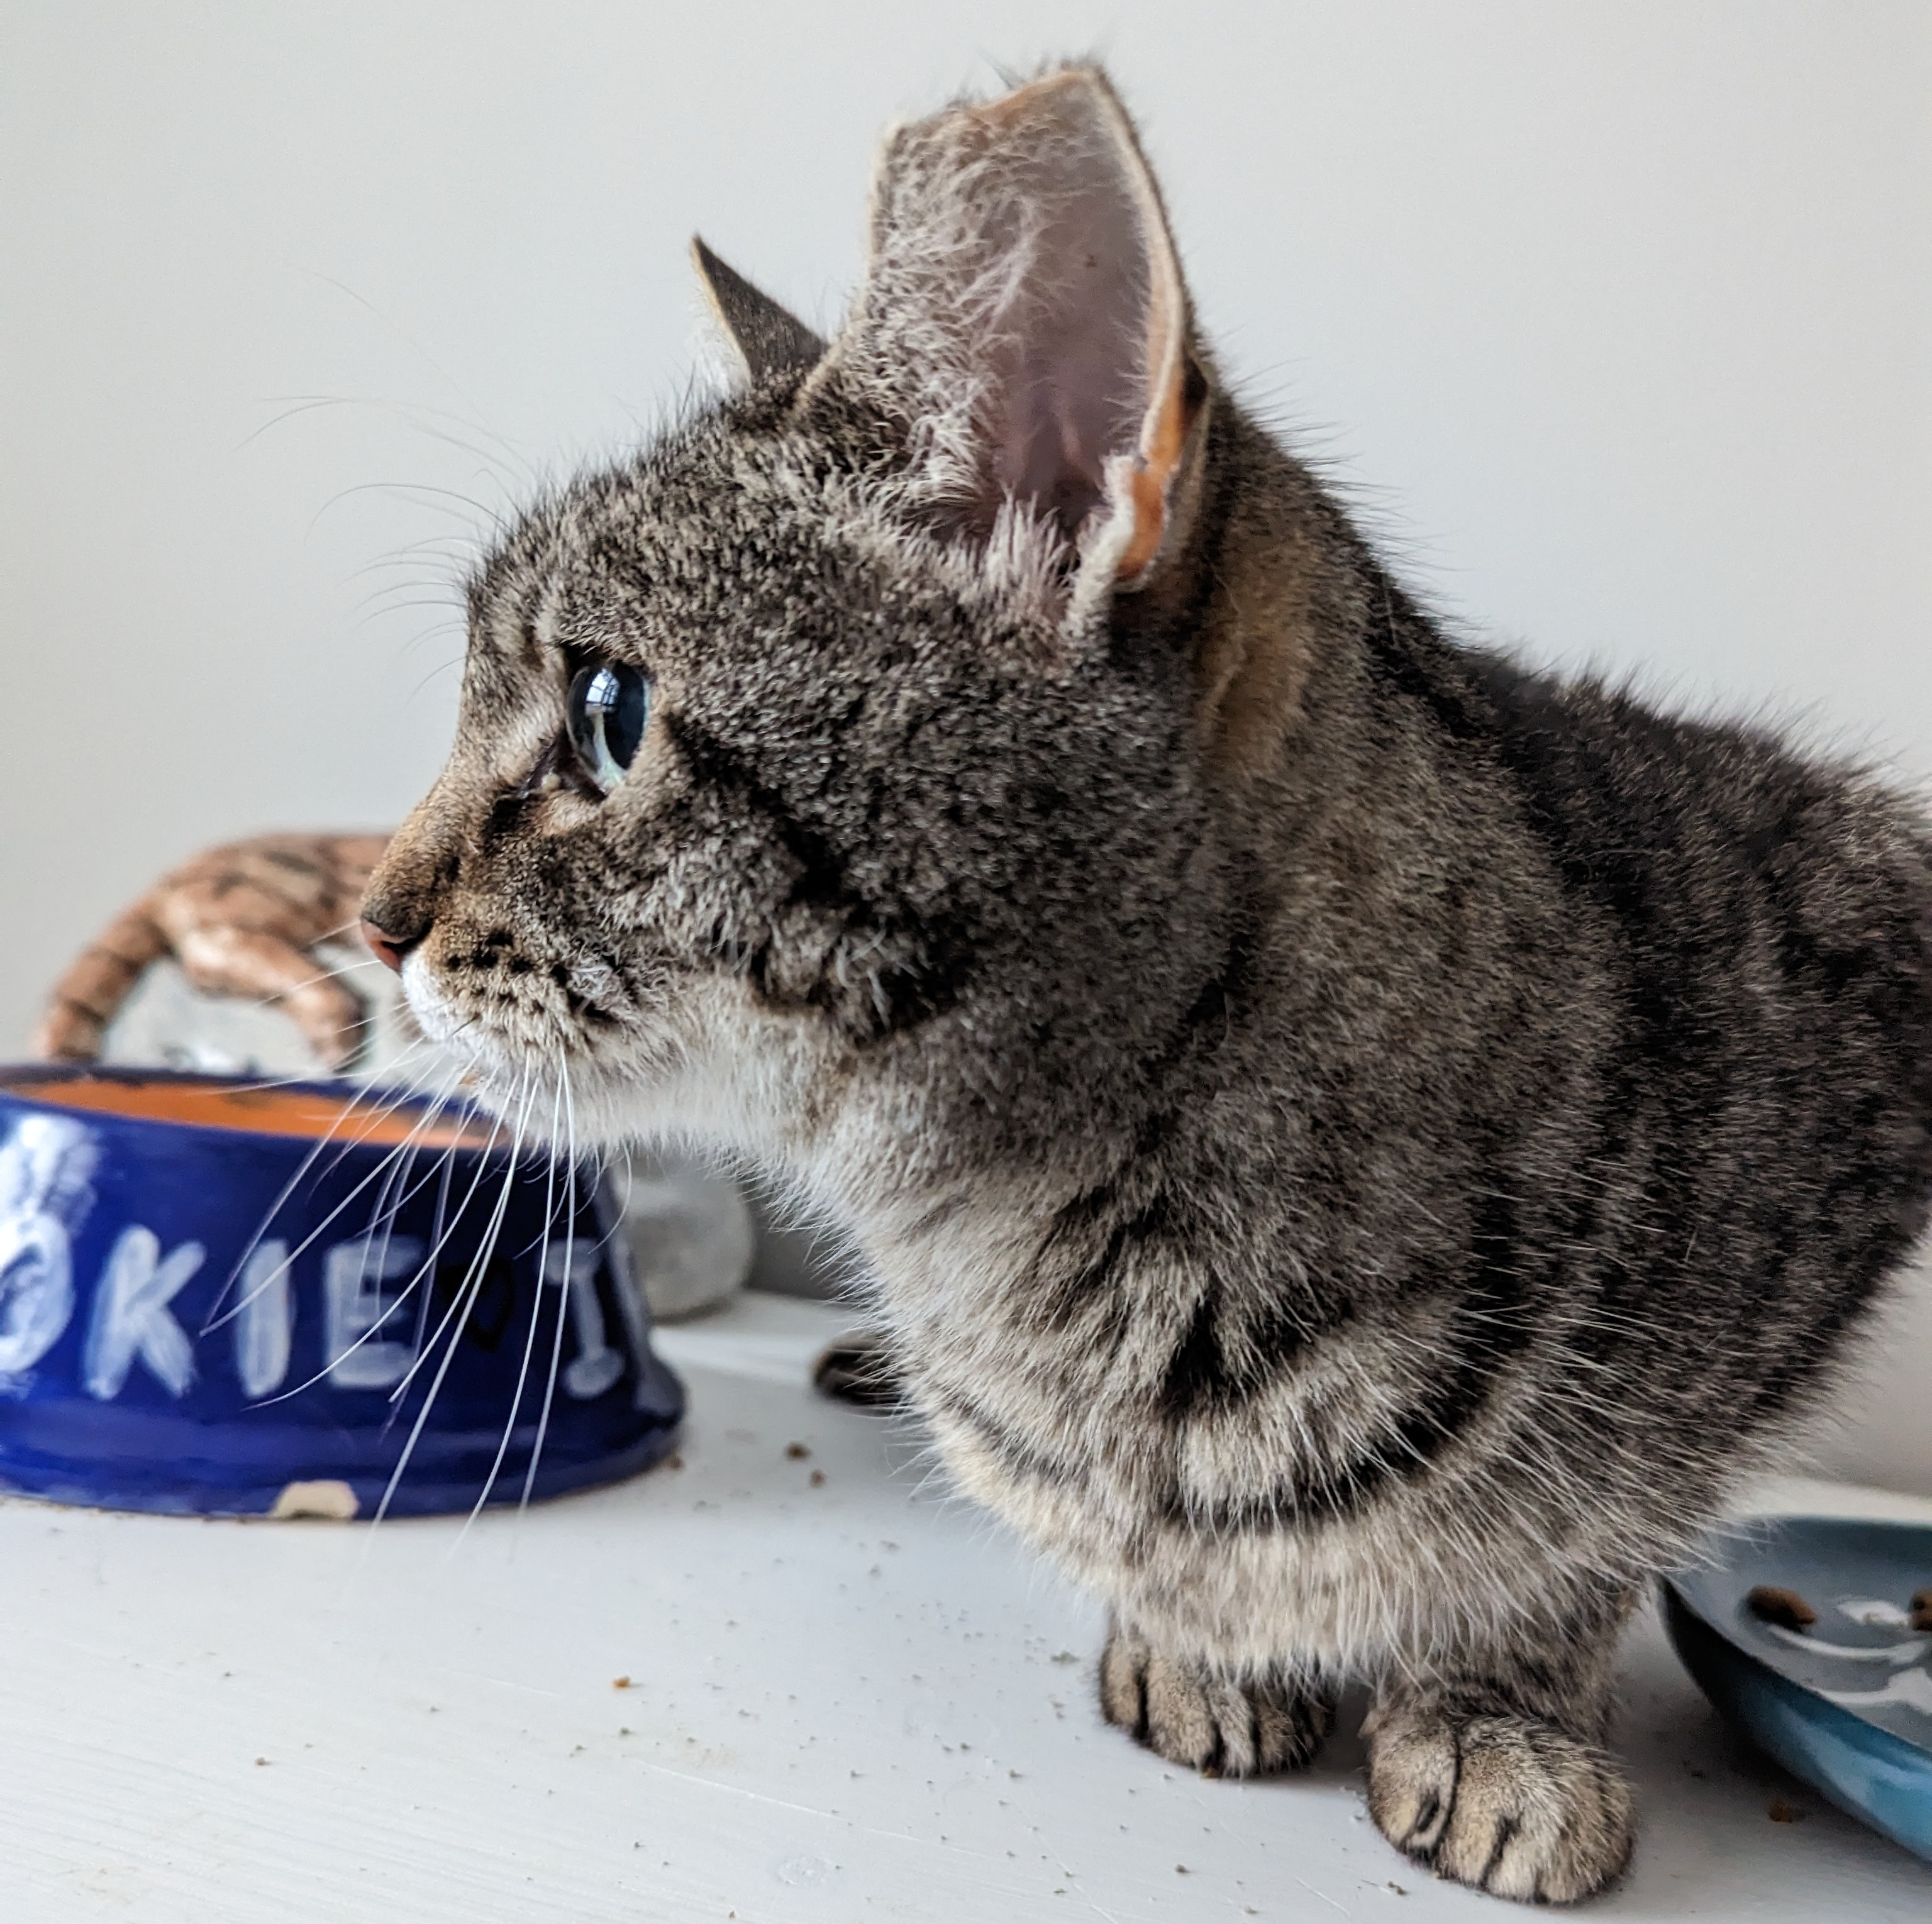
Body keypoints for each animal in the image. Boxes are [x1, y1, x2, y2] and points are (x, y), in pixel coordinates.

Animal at [71, 64, 1932, 1908]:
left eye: (608, 714)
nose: (369, 918)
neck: (1067, 1272)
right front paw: (1203, 1645)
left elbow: (1589, 1539)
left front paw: (1500, 1714)